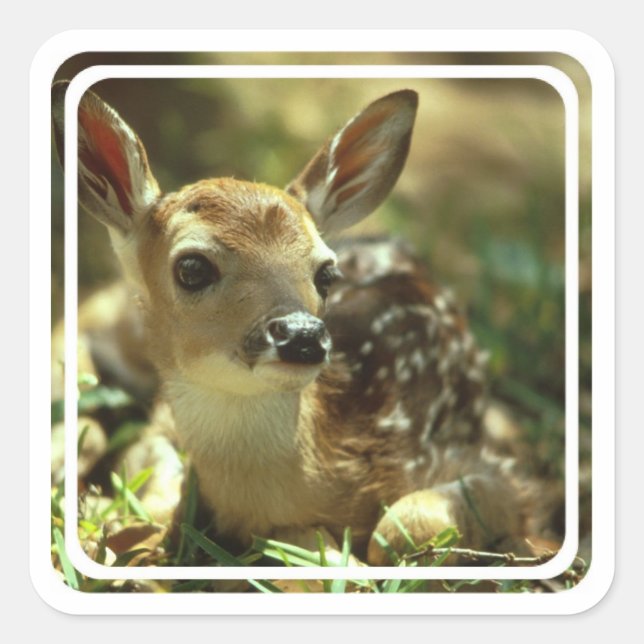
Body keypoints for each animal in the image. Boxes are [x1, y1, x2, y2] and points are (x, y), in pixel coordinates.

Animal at [52, 81, 537, 566]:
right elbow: (151, 489)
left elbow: (401, 530)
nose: (302, 335)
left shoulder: (493, 467)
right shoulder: (161, 425)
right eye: (191, 267)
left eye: (327, 273)